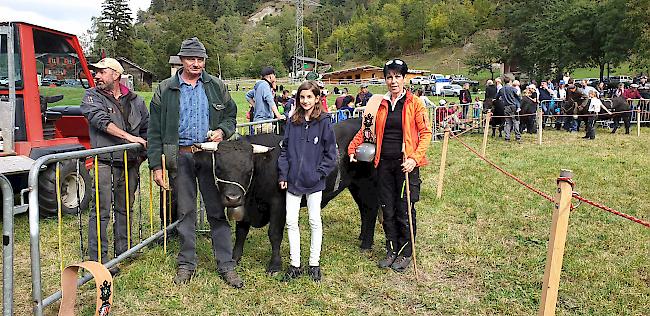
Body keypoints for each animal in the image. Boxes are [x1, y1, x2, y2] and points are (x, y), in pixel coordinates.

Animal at [190, 118, 378, 274]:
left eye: (249, 170)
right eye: (219, 168)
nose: (233, 198)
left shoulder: (278, 204)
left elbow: (274, 234)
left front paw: (275, 265)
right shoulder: (246, 206)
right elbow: (241, 231)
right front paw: (235, 258)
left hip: (367, 185)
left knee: (371, 210)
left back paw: (366, 244)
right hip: (355, 186)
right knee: (364, 210)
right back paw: (362, 237)